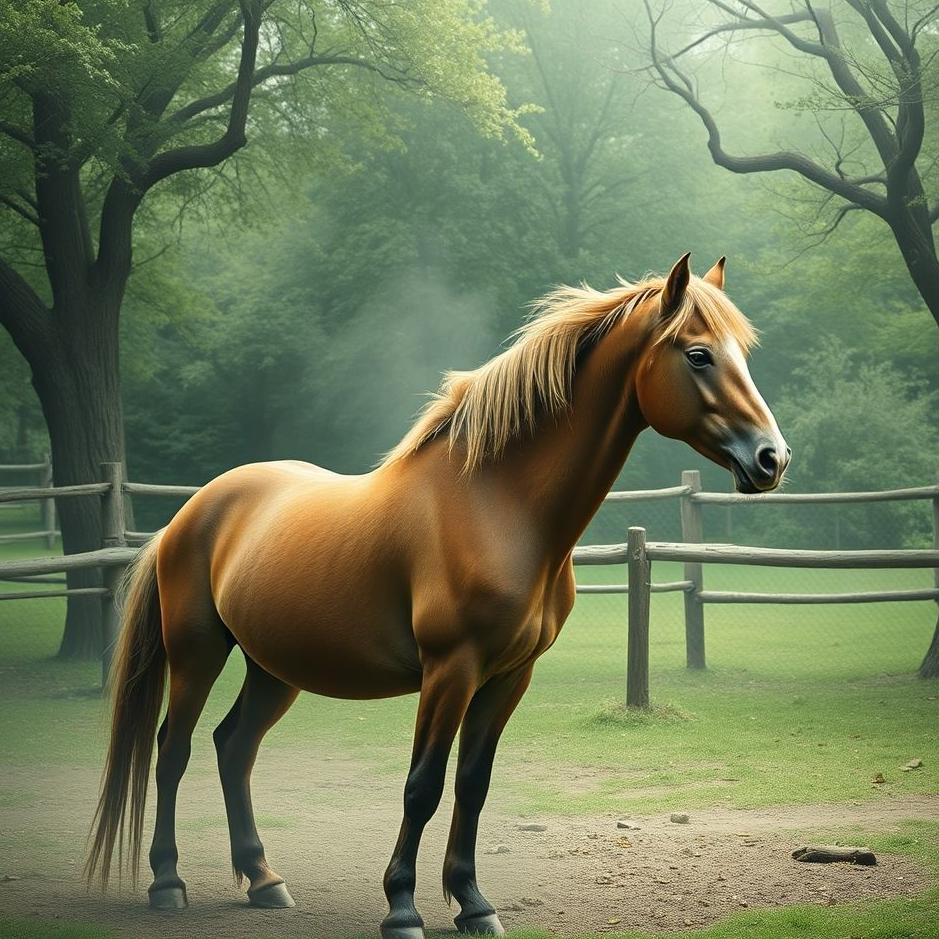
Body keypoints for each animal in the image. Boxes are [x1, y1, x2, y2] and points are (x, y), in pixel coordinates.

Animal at [85, 253, 789, 938]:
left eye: (743, 352)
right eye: (698, 354)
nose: (771, 459)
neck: (495, 504)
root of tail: (191, 512)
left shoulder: (508, 676)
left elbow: (472, 784)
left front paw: (473, 903)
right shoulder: (451, 670)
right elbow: (422, 785)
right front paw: (402, 908)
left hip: (274, 668)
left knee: (233, 749)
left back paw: (263, 881)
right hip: (198, 654)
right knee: (172, 751)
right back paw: (167, 882)